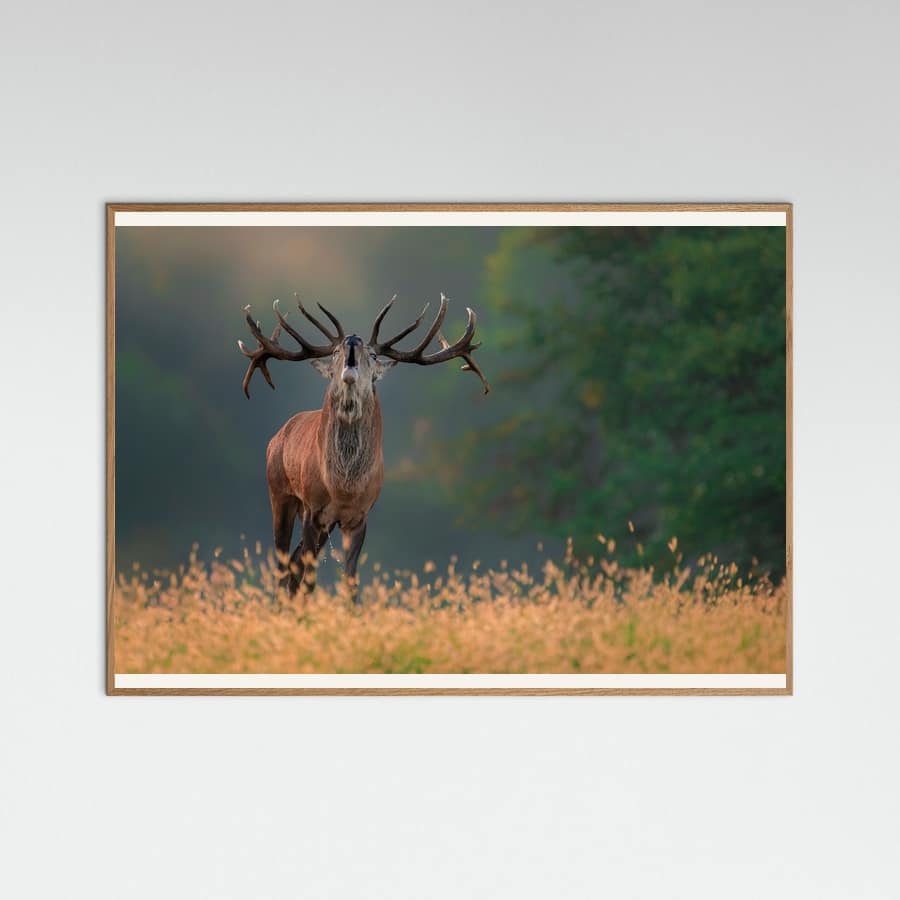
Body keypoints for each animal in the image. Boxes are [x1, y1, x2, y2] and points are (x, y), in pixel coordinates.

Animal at [238, 293, 489, 602]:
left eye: (374, 355)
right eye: (335, 351)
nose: (353, 339)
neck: (344, 486)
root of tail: (278, 436)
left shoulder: (359, 515)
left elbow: (351, 584)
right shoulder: (312, 507)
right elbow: (310, 580)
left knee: (294, 566)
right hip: (280, 493)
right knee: (284, 567)